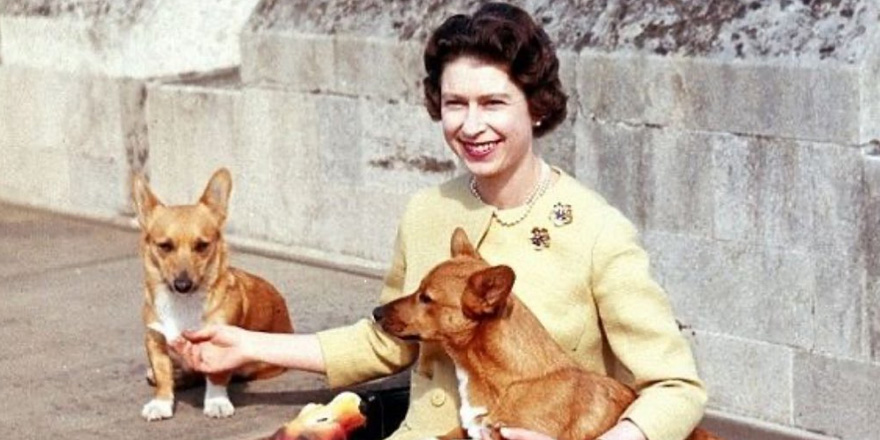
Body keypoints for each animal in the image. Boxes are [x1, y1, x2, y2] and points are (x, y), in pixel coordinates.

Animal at [132, 168, 294, 420]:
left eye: (202, 246)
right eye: (164, 246)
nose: (182, 284)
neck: (183, 304)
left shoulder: (220, 345)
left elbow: (216, 376)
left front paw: (216, 402)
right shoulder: (155, 340)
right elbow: (162, 376)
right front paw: (161, 402)